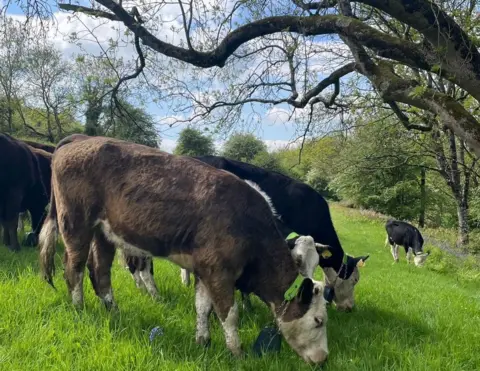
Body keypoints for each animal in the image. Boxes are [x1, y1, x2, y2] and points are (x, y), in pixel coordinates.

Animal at [39, 137, 330, 366]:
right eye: (318, 320)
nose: (324, 359)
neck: (247, 223)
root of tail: (79, 140)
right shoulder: (219, 272)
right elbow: (229, 314)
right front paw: (237, 352)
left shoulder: (205, 270)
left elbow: (202, 307)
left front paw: (203, 341)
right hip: (76, 224)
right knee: (74, 268)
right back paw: (79, 307)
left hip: (104, 233)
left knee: (100, 271)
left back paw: (113, 311)